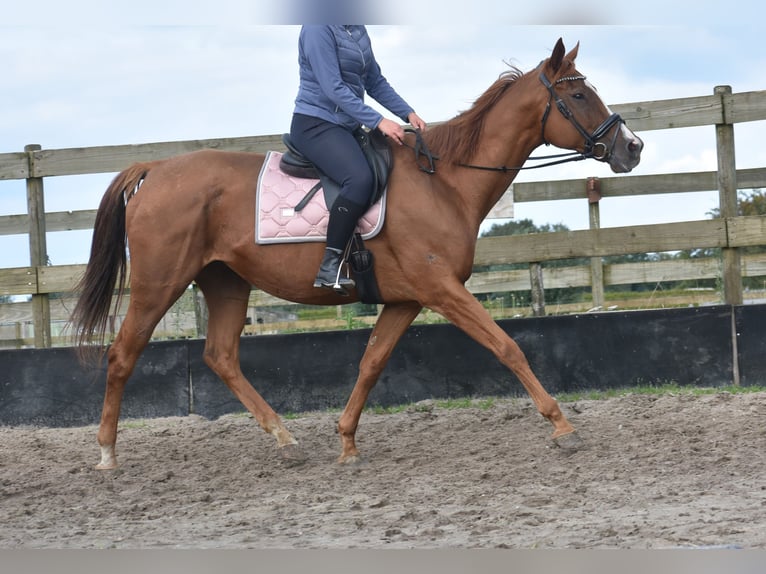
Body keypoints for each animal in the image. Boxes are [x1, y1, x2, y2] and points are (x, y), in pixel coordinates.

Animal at [73, 41, 640, 472]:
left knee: (220, 356)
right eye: (579, 94)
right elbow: (507, 347)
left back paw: (285, 439)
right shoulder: (442, 290)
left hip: (226, 281)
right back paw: (107, 455)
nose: (632, 147)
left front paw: (346, 442)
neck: (445, 181)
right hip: (159, 283)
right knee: (122, 355)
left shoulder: (406, 300)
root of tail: (154, 169)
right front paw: (562, 426)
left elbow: (371, 363)